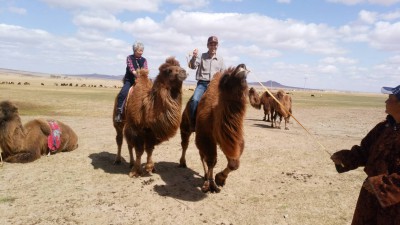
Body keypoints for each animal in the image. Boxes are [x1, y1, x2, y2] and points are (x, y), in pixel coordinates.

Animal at [180, 63, 248, 193]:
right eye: (226, 76)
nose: (242, 66)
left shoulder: (231, 140)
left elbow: (234, 163)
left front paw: (220, 179)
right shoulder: (206, 137)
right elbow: (212, 160)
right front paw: (210, 185)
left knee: (201, 155)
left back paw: (205, 175)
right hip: (185, 126)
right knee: (185, 144)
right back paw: (182, 163)